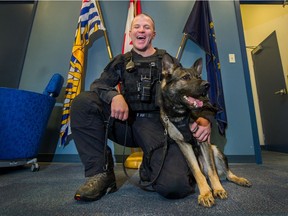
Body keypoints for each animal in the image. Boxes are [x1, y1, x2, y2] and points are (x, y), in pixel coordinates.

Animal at [161, 54, 251, 208]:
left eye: (198, 76)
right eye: (186, 77)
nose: (207, 84)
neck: (182, 114)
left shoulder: (203, 142)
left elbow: (212, 170)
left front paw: (218, 189)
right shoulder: (184, 145)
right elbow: (197, 172)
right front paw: (205, 193)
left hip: (215, 150)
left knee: (226, 174)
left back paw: (238, 179)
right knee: (205, 173)